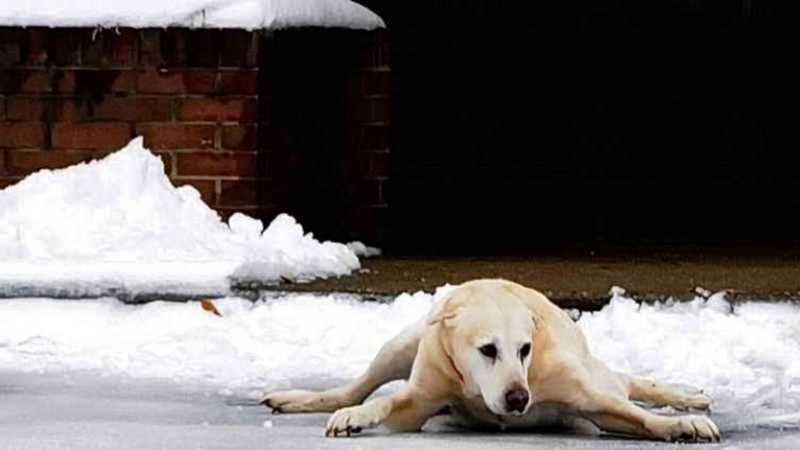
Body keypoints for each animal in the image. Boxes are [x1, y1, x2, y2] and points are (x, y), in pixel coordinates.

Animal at [260, 280, 720, 442]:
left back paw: (688, 398)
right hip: (405, 342)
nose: (519, 399)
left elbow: (636, 415)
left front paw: (683, 423)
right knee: (357, 386)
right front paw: (355, 417)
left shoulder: (590, 400)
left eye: (525, 349)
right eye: (487, 350)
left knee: (627, 385)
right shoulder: (422, 395)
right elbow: (387, 401)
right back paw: (299, 398)